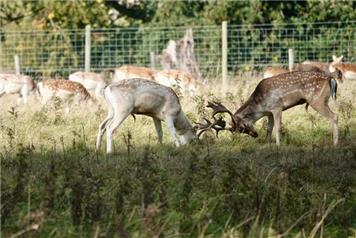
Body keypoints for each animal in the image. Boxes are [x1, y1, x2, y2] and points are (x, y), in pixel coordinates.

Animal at [200, 70, 342, 145]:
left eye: (241, 127)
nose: (255, 135)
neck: (260, 104)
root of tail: (331, 77)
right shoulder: (269, 112)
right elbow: (269, 128)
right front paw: (267, 143)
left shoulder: (277, 107)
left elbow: (277, 128)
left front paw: (278, 145)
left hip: (317, 100)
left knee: (334, 116)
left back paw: (335, 143)